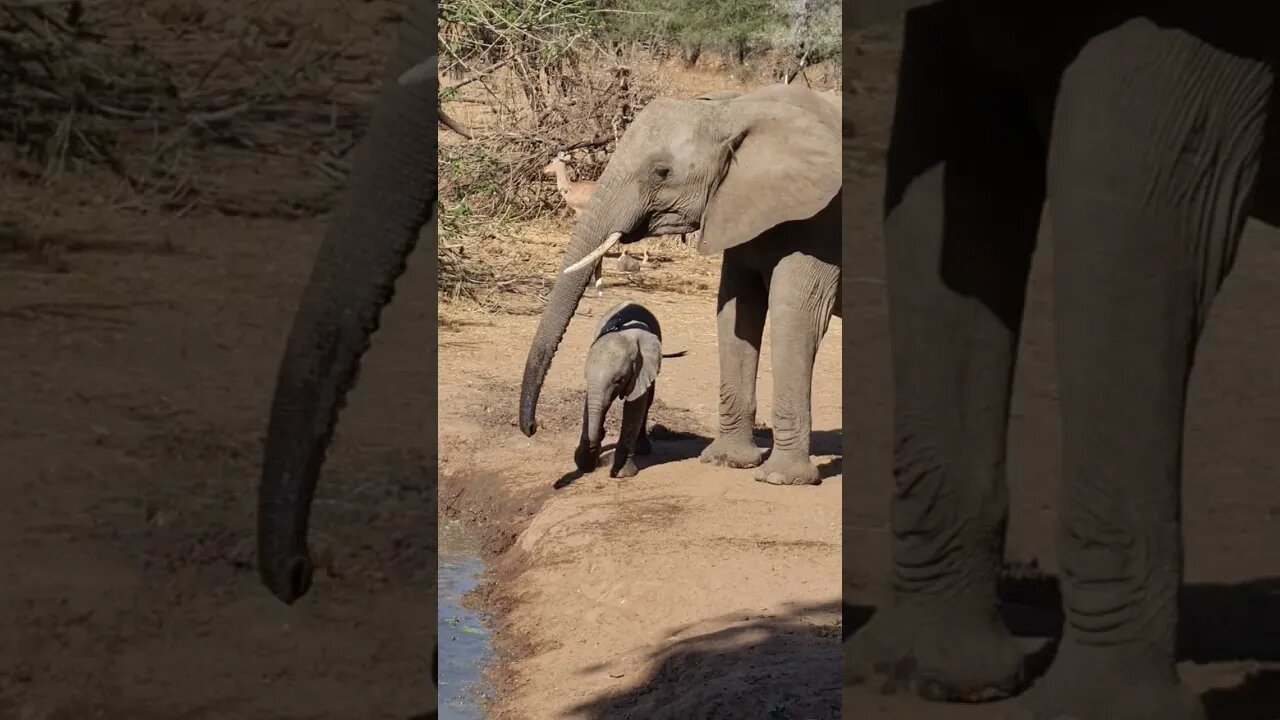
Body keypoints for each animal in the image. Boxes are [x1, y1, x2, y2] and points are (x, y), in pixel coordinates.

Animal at [578, 301, 686, 476]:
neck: (625, 334)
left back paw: (643, 449)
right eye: (585, 377)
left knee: (648, 401)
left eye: (618, 380)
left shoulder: (643, 368)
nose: (603, 432)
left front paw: (622, 473)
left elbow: (635, 407)